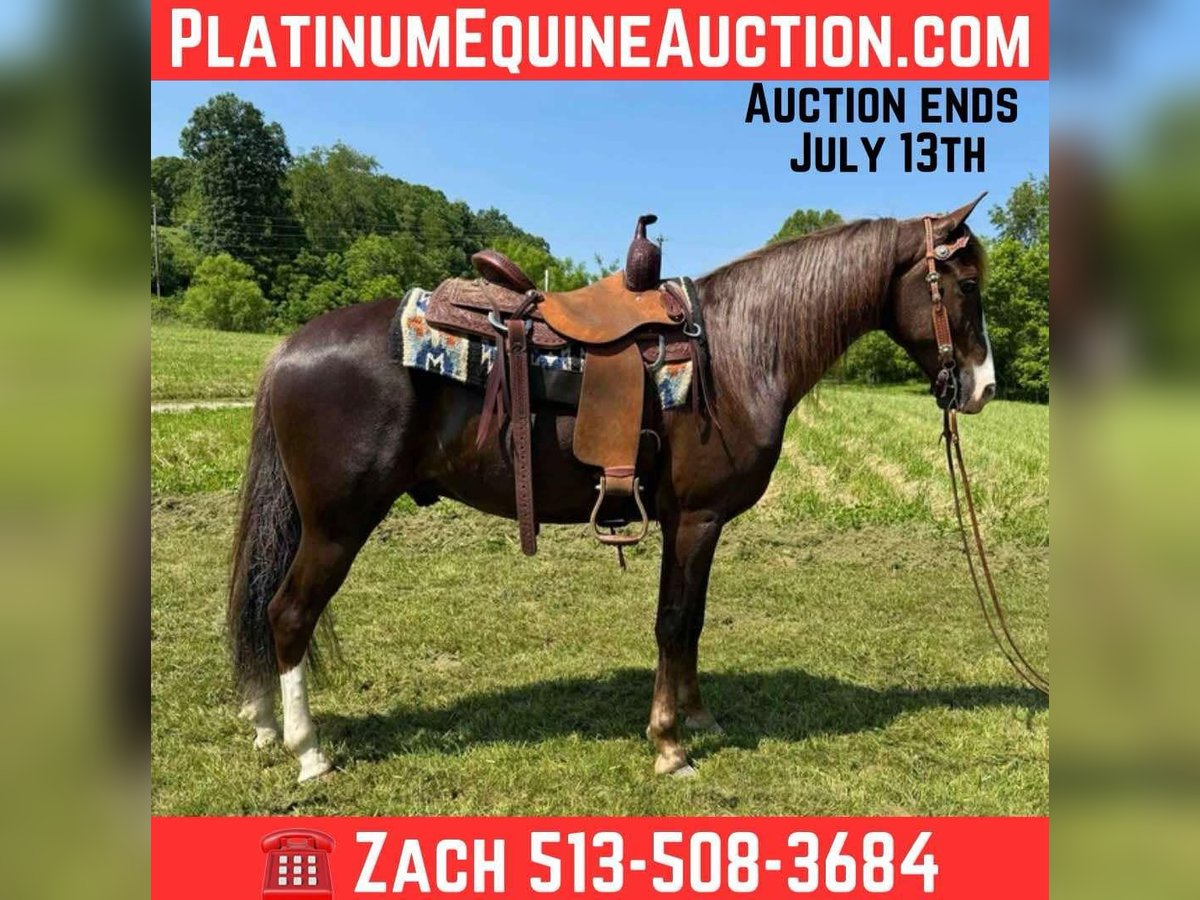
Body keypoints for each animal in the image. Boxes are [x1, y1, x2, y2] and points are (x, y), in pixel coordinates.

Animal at [228, 196, 996, 782]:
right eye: (967, 286)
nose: (984, 387)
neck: (740, 350)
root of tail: (289, 349)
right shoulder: (697, 518)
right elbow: (674, 622)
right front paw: (670, 745)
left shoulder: (691, 522)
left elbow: (691, 621)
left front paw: (696, 715)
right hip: (337, 524)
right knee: (288, 613)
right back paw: (309, 752)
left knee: (265, 606)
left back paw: (264, 724)